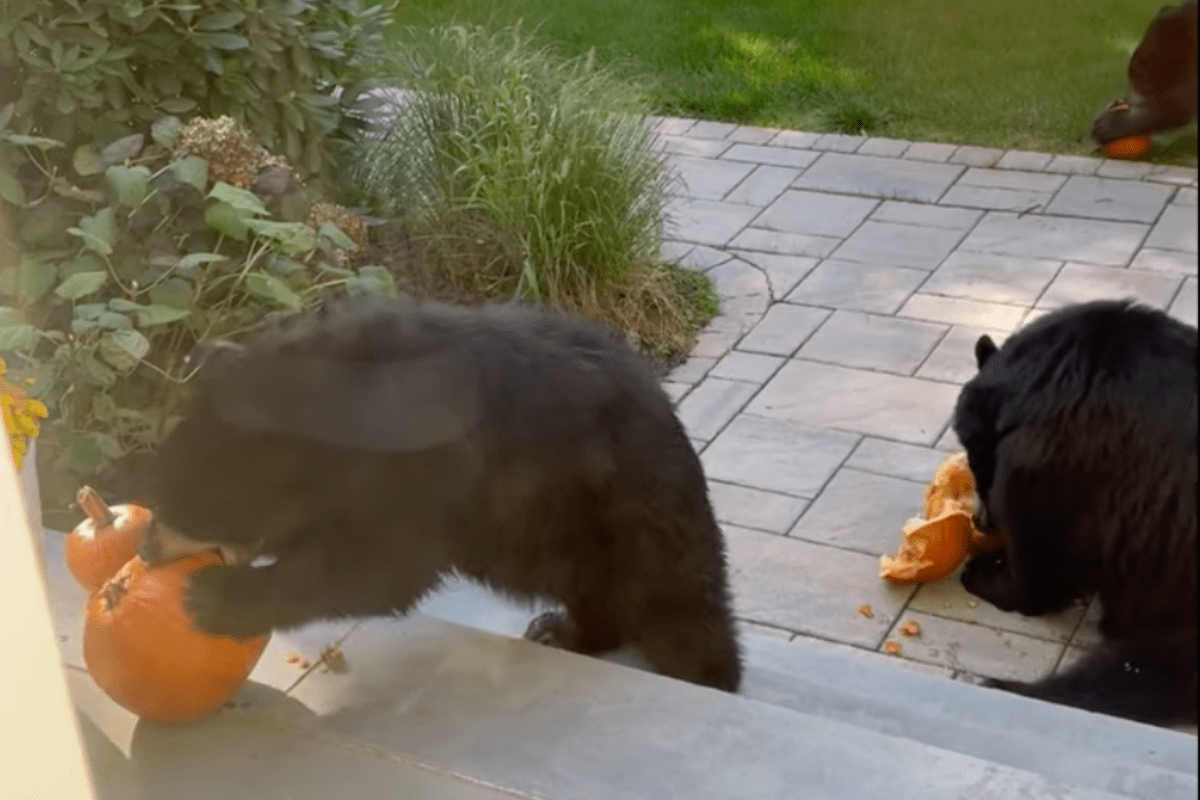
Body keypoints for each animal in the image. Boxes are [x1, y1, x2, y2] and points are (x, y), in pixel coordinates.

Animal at [139, 297, 743, 693]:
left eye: (184, 506)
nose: (144, 547)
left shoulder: (424, 468)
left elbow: (379, 564)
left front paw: (213, 596)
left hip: (631, 518)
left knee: (679, 609)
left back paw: (703, 672)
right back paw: (560, 629)